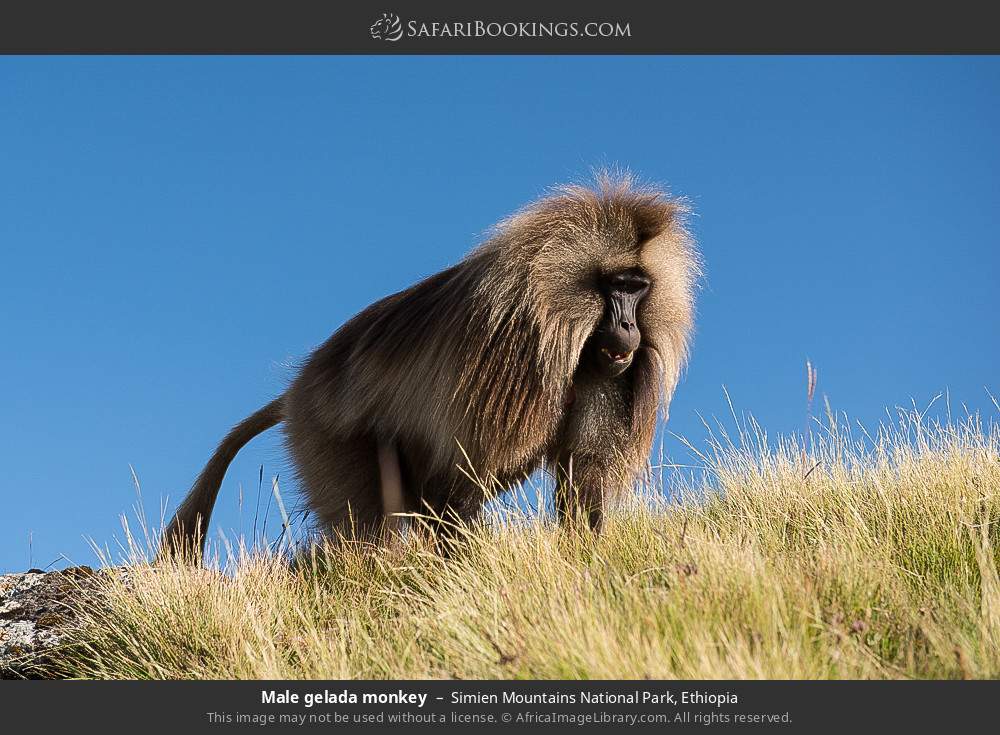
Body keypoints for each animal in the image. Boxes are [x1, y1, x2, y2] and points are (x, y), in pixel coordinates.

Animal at [160, 173, 698, 560]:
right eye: (617, 287)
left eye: (639, 288)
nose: (628, 327)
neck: (561, 324)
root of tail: (297, 391)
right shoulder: (508, 362)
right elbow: (466, 472)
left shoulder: (602, 371)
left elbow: (582, 477)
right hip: (327, 436)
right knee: (366, 527)